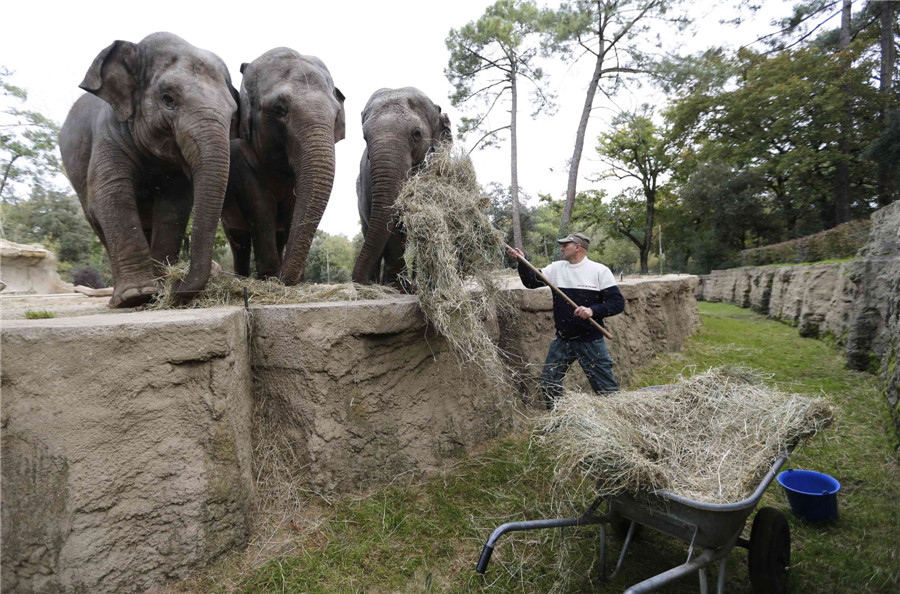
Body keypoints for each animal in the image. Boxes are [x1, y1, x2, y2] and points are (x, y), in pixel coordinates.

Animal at [61, 31, 241, 308]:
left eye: (233, 114)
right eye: (168, 99)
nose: (177, 283)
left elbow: (173, 205)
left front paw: (159, 288)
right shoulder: (109, 130)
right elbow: (110, 192)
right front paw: (138, 295)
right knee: (95, 218)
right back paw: (120, 299)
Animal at [221, 48, 344, 280]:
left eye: (336, 118)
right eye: (279, 110)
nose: (283, 279)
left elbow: (293, 209)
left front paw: (295, 280)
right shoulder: (243, 162)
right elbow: (261, 208)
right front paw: (269, 277)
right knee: (238, 239)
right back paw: (243, 277)